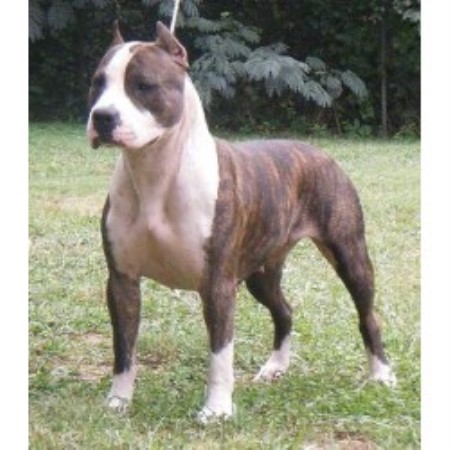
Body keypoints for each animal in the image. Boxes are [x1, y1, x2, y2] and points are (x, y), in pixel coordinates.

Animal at [86, 21, 396, 423]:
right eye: (98, 83)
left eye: (143, 85)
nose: (102, 117)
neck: (155, 171)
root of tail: (319, 153)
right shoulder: (122, 280)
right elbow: (124, 348)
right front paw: (118, 402)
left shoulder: (217, 284)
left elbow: (220, 355)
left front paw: (217, 409)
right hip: (260, 273)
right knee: (284, 311)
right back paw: (275, 367)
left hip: (349, 254)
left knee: (367, 315)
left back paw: (381, 373)